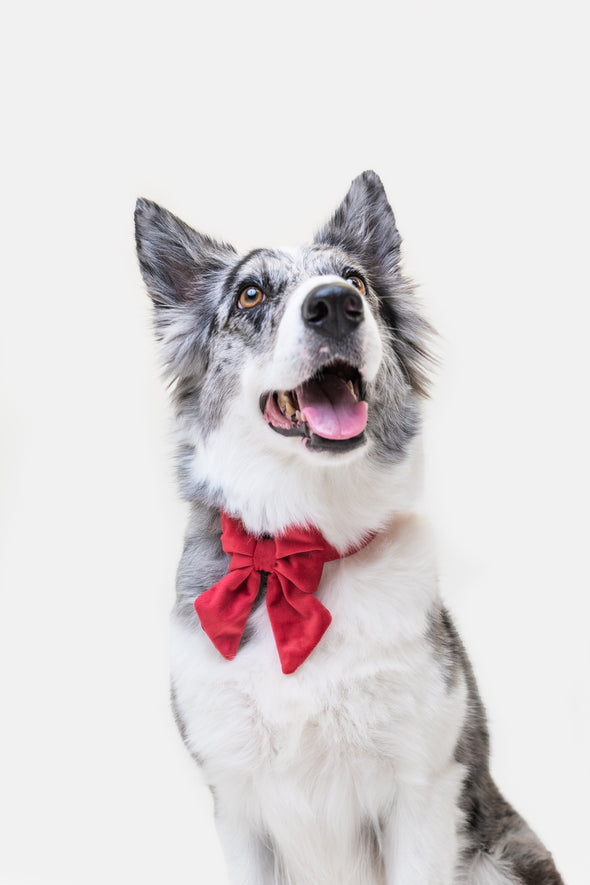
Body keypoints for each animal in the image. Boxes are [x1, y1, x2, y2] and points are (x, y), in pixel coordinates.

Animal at [136, 173, 568, 884]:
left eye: (355, 280)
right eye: (251, 292)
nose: (336, 305)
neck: (306, 547)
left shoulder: (421, 793)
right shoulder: (236, 801)